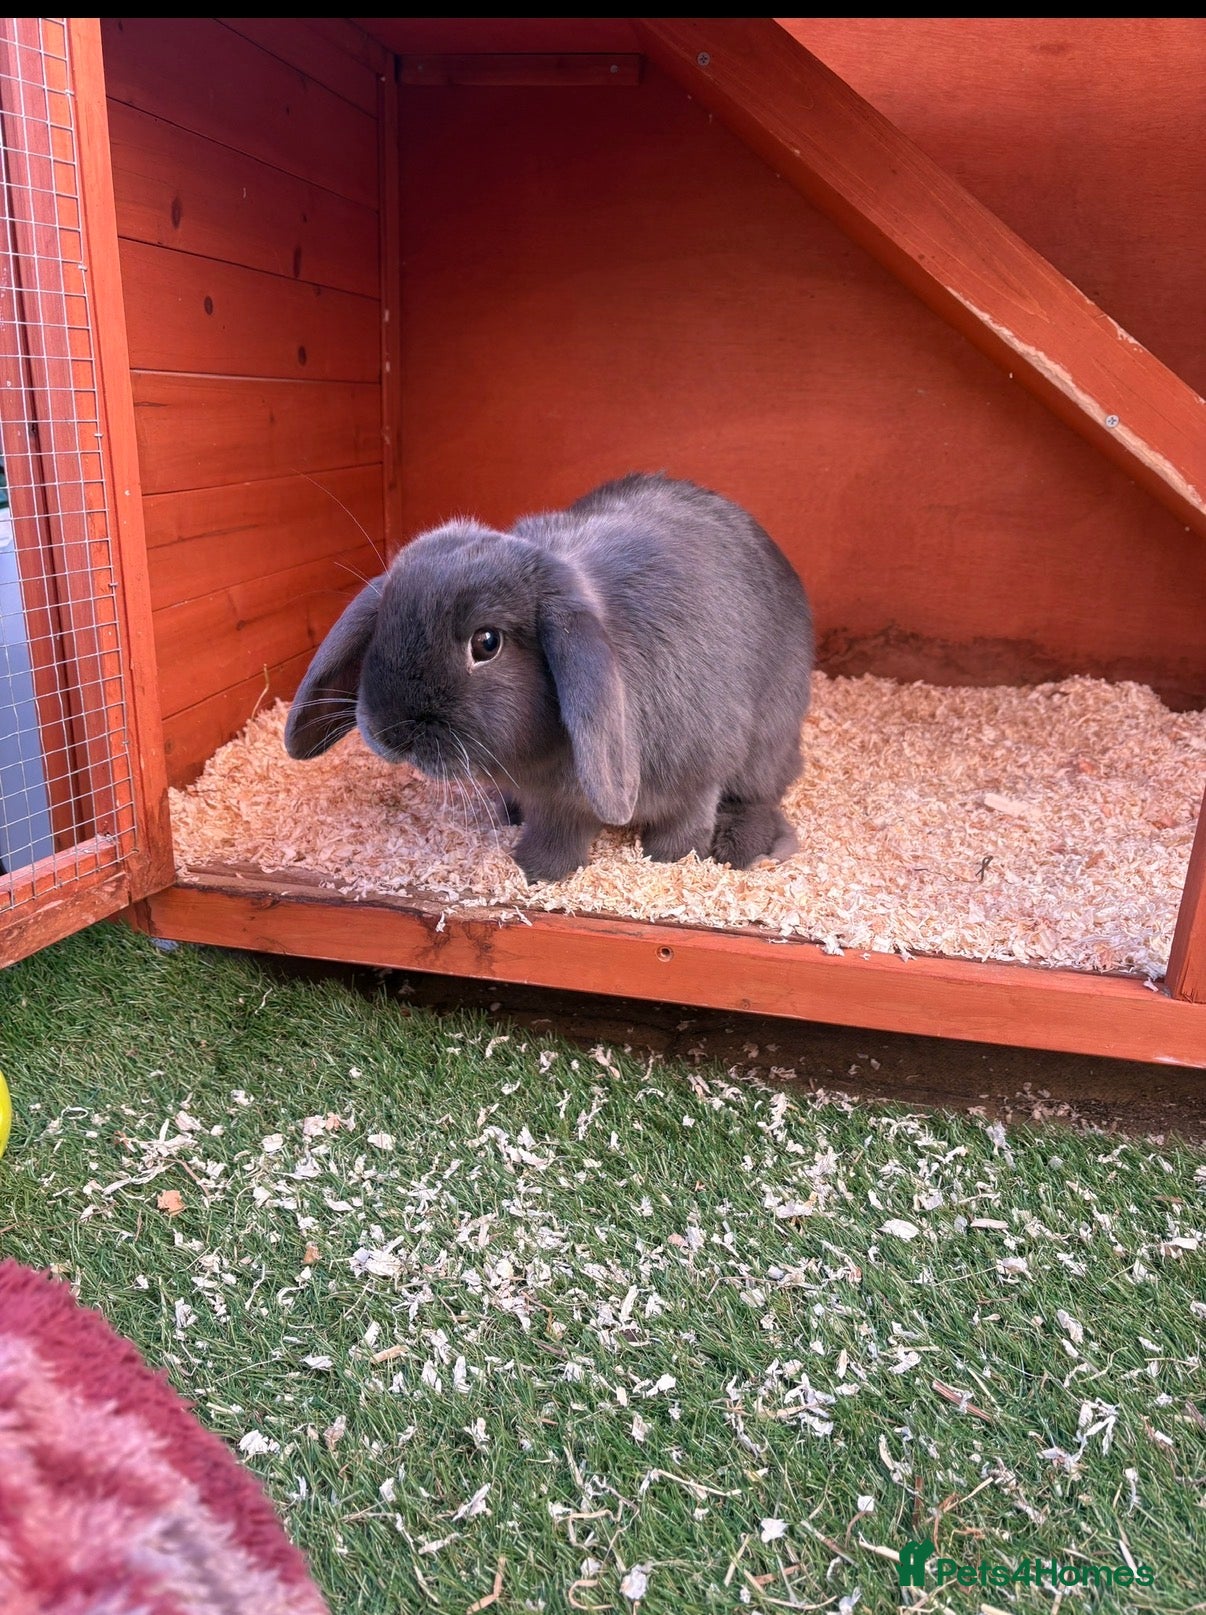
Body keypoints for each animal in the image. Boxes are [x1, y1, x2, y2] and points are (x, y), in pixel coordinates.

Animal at [284, 473, 814, 883]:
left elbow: (680, 828)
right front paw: (533, 864)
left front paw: (664, 862)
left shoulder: (696, 779)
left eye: (487, 643)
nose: (390, 733)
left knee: (760, 793)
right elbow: (555, 833)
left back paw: (743, 844)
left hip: (767, 743)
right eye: (383, 623)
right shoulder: (555, 803)